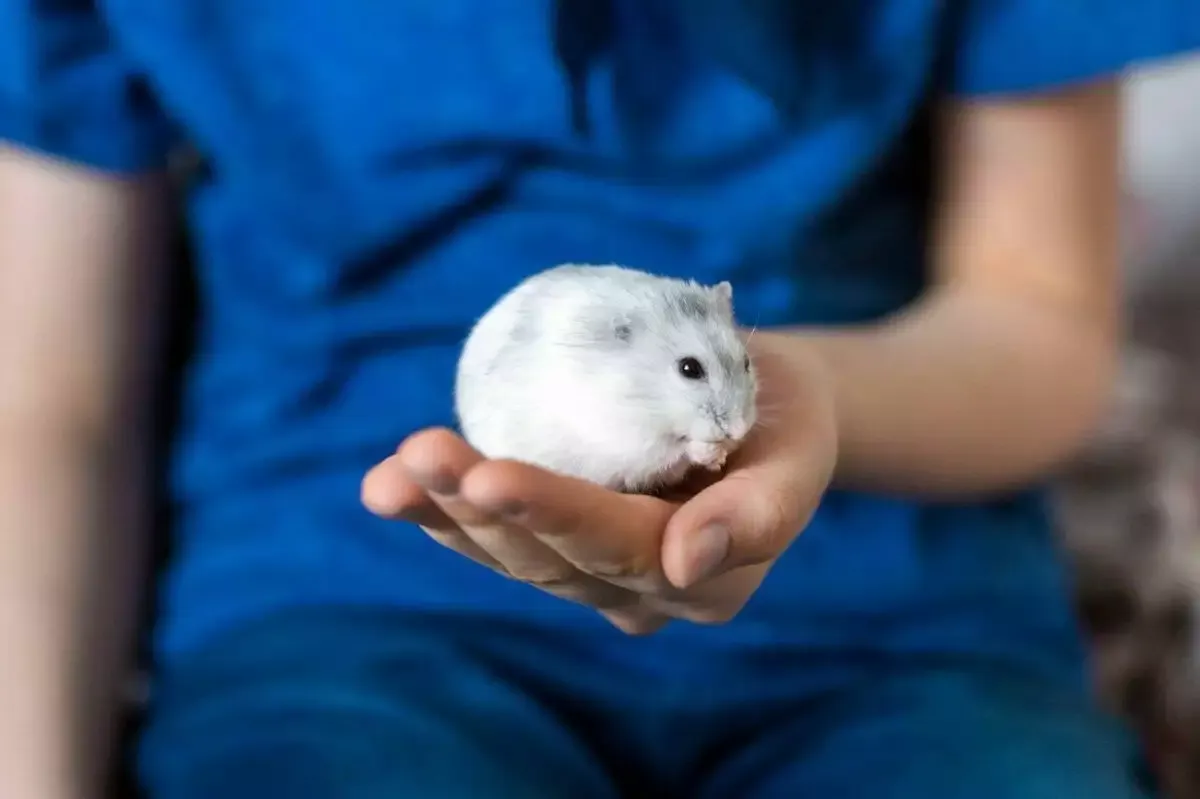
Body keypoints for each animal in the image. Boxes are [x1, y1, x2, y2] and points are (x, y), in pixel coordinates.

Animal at [454, 264, 759, 493]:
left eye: (746, 362)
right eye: (689, 369)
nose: (739, 430)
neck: (645, 396)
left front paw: (722, 455)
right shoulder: (627, 441)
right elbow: (674, 451)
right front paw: (711, 454)